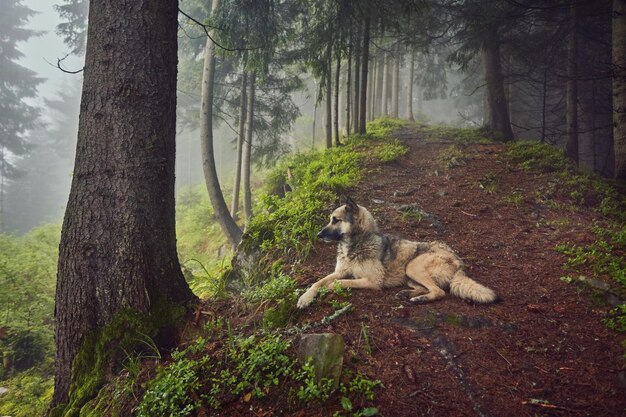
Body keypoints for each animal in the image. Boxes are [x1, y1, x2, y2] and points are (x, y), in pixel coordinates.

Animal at [294, 197, 494, 308]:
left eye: (335, 220)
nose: (318, 235)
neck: (356, 243)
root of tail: (458, 261)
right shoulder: (339, 271)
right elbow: (317, 282)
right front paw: (305, 297)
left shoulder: (371, 281)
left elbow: (339, 282)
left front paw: (329, 288)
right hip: (410, 275)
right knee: (428, 288)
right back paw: (408, 294)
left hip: (413, 266)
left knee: (439, 292)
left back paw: (419, 299)